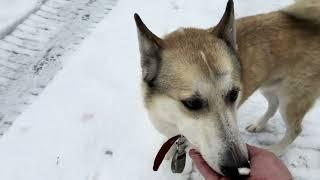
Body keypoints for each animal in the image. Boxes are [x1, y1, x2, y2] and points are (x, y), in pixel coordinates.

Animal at [134, 0, 318, 177]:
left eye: (234, 94)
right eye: (192, 103)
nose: (239, 168)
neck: (174, 122)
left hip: (291, 100)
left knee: (295, 129)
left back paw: (274, 150)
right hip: (269, 87)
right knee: (273, 105)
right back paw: (258, 125)